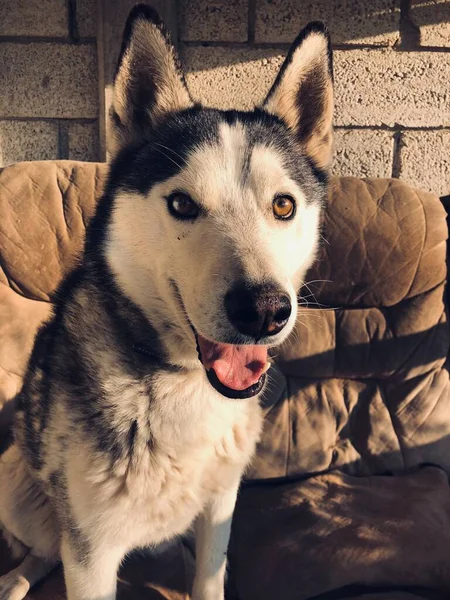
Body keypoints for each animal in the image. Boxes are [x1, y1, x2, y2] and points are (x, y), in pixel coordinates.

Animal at [0, 4, 330, 600]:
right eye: (181, 203)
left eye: (284, 206)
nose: (264, 310)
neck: (183, 385)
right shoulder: (91, 552)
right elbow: (74, 556)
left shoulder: (221, 507)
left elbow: (210, 576)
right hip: (16, 486)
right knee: (43, 550)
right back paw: (15, 579)